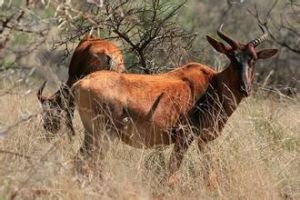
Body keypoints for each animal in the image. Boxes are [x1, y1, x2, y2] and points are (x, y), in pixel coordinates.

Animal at [71, 25, 278, 177]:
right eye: (232, 57)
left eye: (253, 59)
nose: (245, 89)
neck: (211, 83)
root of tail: (81, 83)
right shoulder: (186, 138)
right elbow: (174, 171)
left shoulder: (202, 140)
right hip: (101, 135)